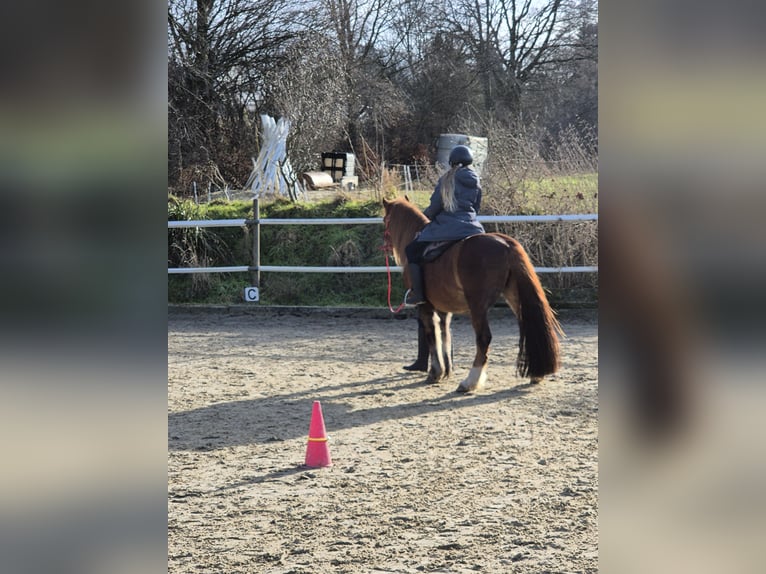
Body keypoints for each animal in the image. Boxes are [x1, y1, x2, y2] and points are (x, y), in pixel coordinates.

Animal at [382, 197, 563, 392]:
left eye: (384, 220)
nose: (384, 247)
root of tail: (506, 245)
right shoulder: (444, 309)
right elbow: (445, 335)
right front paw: (447, 370)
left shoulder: (425, 307)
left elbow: (432, 335)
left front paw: (436, 373)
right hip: (514, 297)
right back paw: (536, 375)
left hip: (477, 306)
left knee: (483, 338)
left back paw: (470, 381)